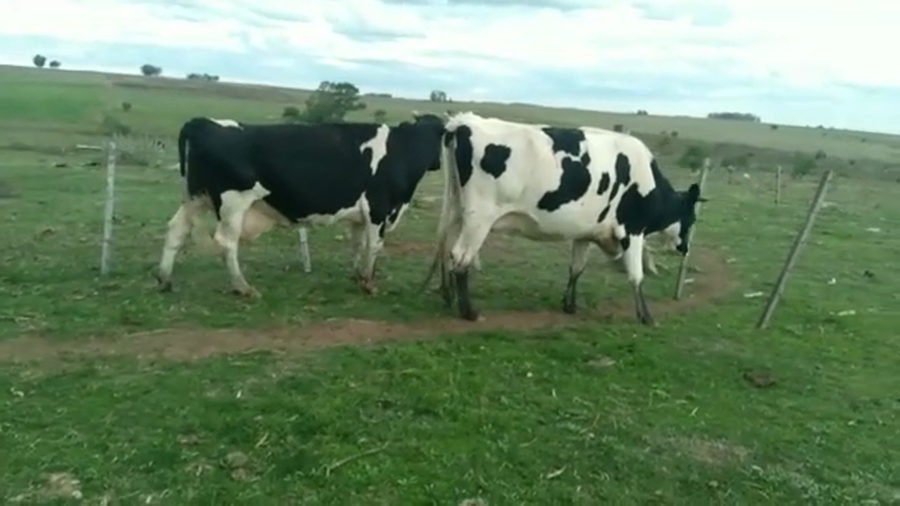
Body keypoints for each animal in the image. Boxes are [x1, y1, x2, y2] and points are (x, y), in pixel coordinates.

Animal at [156, 112, 446, 298]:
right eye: (443, 136)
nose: (438, 164)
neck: (403, 149)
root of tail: (203, 122)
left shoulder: (360, 214)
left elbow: (357, 244)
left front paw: (357, 276)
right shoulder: (379, 208)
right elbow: (374, 245)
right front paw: (369, 284)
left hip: (196, 197)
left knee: (176, 228)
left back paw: (165, 279)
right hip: (232, 203)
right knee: (227, 243)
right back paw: (243, 287)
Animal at [423, 112, 706, 325]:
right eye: (691, 218)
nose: (685, 248)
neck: (646, 178)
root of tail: (464, 122)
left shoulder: (585, 232)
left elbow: (576, 268)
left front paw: (569, 305)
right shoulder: (633, 231)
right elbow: (636, 276)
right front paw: (646, 317)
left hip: (457, 211)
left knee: (447, 247)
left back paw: (448, 296)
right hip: (479, 218)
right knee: (461, 258)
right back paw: (469, 312)